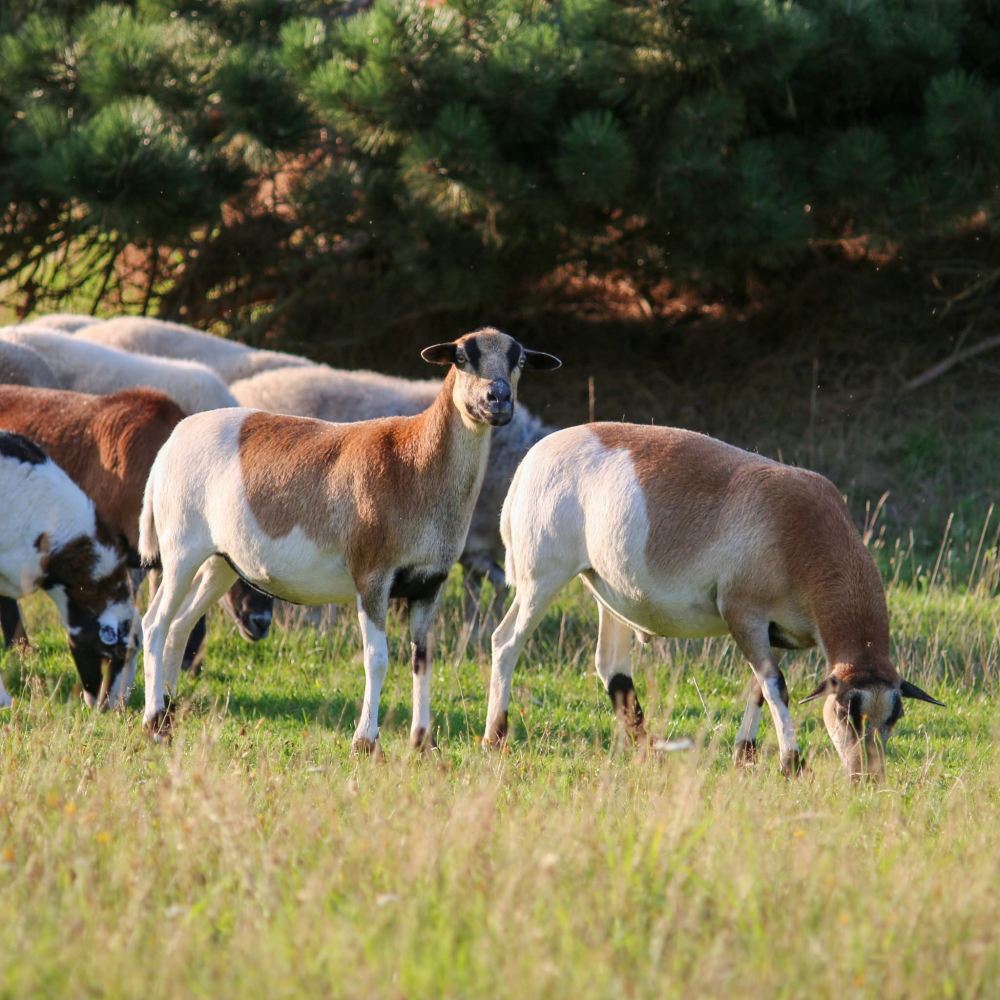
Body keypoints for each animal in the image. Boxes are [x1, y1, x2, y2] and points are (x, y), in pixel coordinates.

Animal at [484, 422, 944, 780]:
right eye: (848, 711)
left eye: (895, 716)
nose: (867, 777)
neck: (803, 534)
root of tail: (532, 460)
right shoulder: (743, 614)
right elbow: (776, 686)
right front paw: (791, 763)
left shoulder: (777, 633)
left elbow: (759, 688)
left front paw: (745, 755)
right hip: (542, 576)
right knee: (506, 642)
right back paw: (495, 737)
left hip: (605, 585)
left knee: (610, 664)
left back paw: (648, 749)